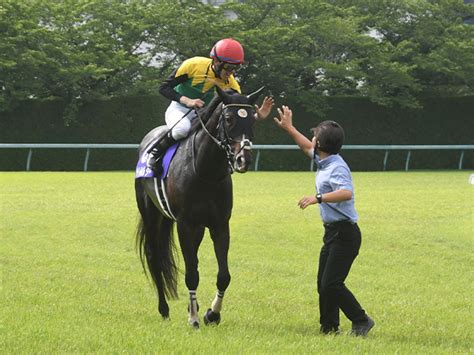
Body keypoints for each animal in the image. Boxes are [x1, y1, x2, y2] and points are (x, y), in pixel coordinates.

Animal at [134, 86, 262, 328]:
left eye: (253, 118)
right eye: (229, 119)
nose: (243, 159)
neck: (206, 171)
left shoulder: (219, 224)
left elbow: (224, 275)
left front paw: (212, 314)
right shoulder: (186, 224)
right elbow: (191, 273)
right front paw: (193, 317)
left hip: (198, 227)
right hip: (151, 213)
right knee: (155, 257)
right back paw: (163, 309)